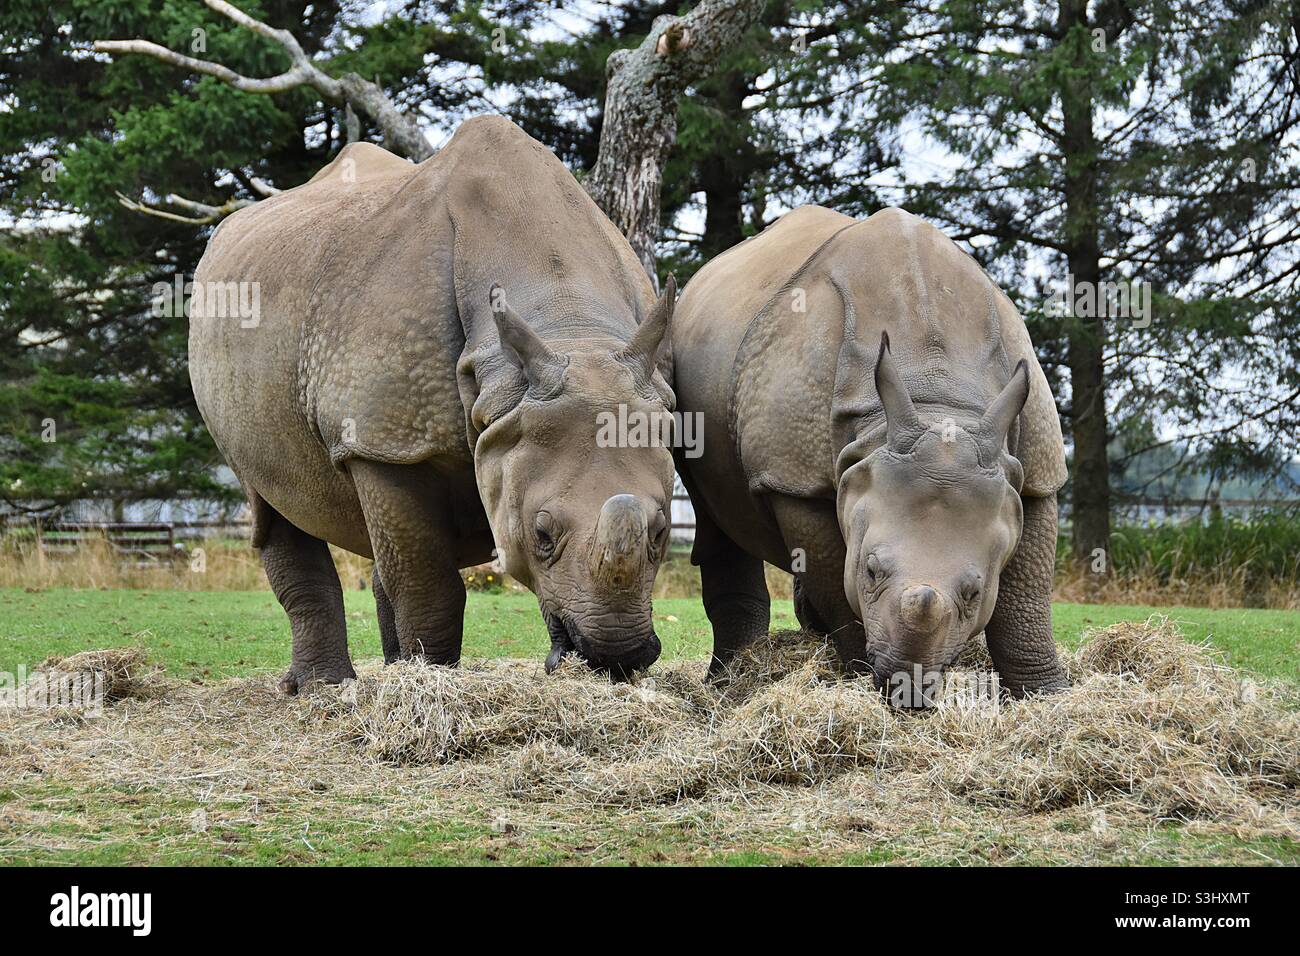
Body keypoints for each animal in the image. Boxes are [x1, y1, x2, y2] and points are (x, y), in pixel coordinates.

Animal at [195, 115, 681, 691]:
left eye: (661, 531)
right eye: (540, 534)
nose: (617, 657)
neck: (568, 324)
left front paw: (415, 677)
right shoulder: (384, 441)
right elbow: (430, 587)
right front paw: (431, 682)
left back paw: (379, 672)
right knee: (271, 503)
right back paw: (325, 690)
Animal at [670, 205, 1066, 702]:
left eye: (975, 592)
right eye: (872, 570)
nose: (907, 684)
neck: (937, 399)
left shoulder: (1033, 474)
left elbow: (1028, 598)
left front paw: (1048, 694)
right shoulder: (792, 479)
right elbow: (835, 584)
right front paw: (858, 675)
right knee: (718, 520)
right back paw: (727, 682)